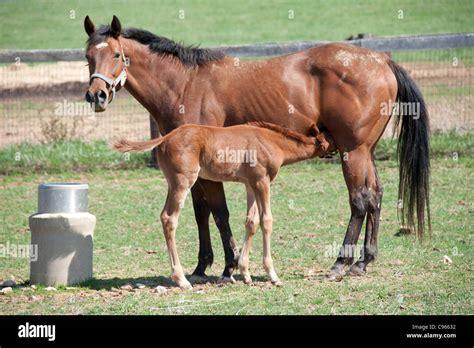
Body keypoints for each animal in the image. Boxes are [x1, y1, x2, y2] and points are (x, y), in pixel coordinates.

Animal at [113, 122, 336, 288]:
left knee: (164, 216)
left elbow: (251, 222)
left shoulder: (250, 184)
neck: (272, 142)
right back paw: (181, 280)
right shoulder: (262, 181)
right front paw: (273, 275)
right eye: (332, 137)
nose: (343, 148)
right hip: (183, 182)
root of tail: (165, 138)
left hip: (172, 183)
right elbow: (266, 221)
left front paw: (245, 273)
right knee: (169, 218)